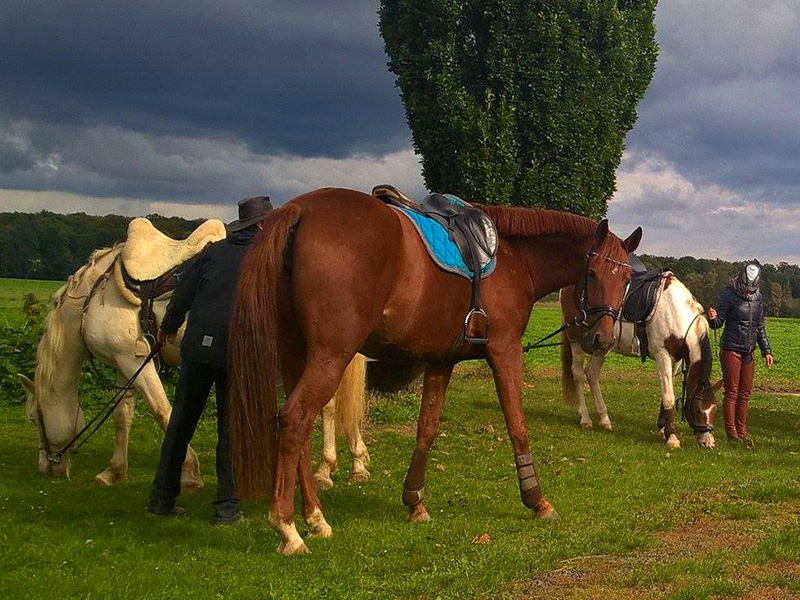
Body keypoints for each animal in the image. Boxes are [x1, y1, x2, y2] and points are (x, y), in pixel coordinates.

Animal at [17, 223, 368, 487]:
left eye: (34, 417)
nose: (47, 468)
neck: (95, 295)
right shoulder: (123, 363)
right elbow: (122, 416)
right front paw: (113, 471)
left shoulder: (136, 362)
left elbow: (163, 412)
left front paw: (190, 471)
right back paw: (343, 466)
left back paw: (330, 470)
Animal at [228, 187, 642, 555]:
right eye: (592, 274)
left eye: (625, 279)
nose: (602, 339)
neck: (514, 257)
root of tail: (300, 209)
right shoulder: (505, 351)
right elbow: (517, 427)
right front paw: (537, 500)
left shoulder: (442, 360)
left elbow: (426, 428)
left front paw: (415, 502)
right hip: (330, 355)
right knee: (295, 419)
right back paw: (288, 528)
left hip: (295, 353)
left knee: (299, 427)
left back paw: (315, 518)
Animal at [560, 272, 720, 449]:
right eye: (698, 410)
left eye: (714, 409)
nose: (708, 442)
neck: (675, 313)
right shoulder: (662, 355)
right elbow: (668, 395)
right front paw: (672, 436)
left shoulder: (676, 359)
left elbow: (668, 389)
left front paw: (662, 429)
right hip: (576, 339)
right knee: (578, 374)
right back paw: (585, 417)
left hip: (600, 343)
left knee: (592, 373)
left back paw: (604, 418)